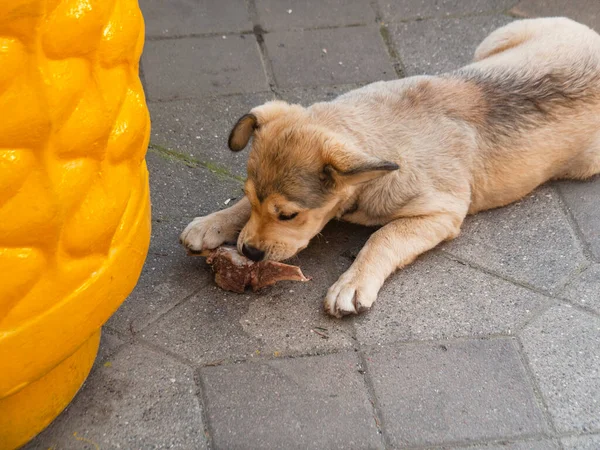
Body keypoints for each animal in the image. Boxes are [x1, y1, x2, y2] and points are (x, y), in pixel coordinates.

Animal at [180, 18, 600, 316]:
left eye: (288, 215)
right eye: (252, 198)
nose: (249, 252)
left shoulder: (441, 212)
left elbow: (383, 237)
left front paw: (353, 284)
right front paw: (212, 223)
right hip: (497, 40)